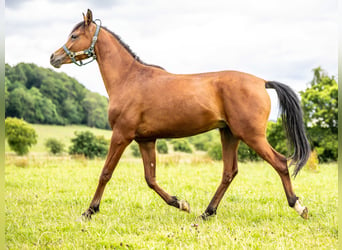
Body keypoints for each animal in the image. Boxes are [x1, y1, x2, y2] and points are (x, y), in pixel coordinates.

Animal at [50, 8, 310, 220]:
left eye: (74, 36)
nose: (54, 57)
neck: (129, 78)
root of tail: (262, 82)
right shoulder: (146, 140)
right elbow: (151, 179)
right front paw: (180, 203)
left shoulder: (121, 135)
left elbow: (105, 173)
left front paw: (89, 211)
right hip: (229, 134)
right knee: (229, 172)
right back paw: (206, 212)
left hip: (251, 135)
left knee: (280, 162)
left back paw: (298, 207)